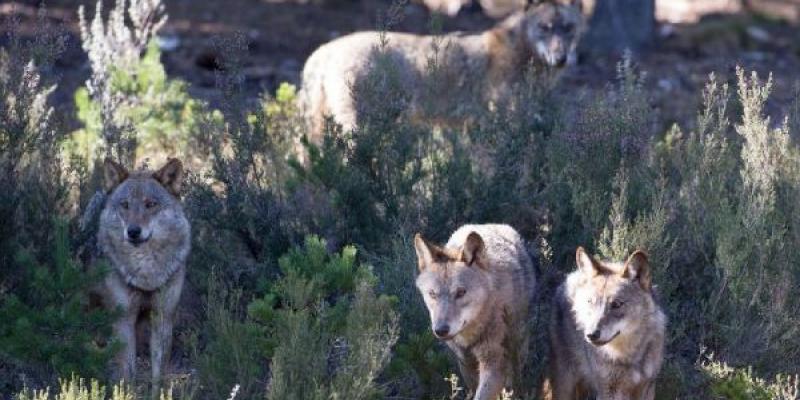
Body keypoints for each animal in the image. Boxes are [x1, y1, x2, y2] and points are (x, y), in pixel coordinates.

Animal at [95, 158, 191, 392]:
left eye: (150, 204)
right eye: (125, 205)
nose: (133, 231)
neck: (146, 274)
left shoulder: (163, 319)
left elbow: (158, 377)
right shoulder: (123, 321)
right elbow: (128, 375)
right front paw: (125, 395)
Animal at [412, 225, 536, 400]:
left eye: (460, 292)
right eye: (432, 294)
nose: (441, 330)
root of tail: (492, 224)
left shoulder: (494, 362)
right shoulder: (464, 360)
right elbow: (473, 387)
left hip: (517, 342)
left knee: (516, 373)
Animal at [544, 247, 668, 400]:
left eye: (616, 304)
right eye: (590, 302)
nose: (591, 334)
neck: (628, 357)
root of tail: (570, 276)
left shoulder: (647, 387)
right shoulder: (608, 391)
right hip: (565, 383)